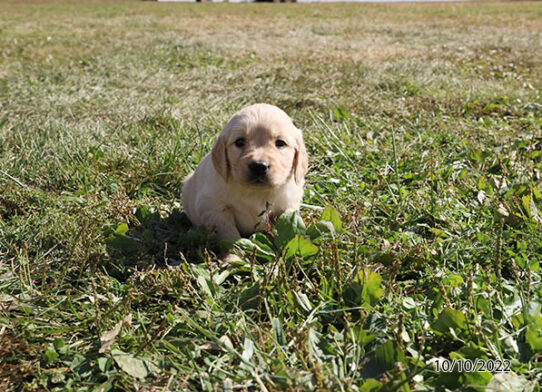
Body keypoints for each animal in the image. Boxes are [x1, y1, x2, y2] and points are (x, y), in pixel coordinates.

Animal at [184, 102, 308, 258]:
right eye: (240, 141)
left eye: (280, 143)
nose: (259, 166)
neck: (256, 192)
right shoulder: (213, 206)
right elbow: (229, 234)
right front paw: (232, 257)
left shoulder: (291, 200)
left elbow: (286, 217)